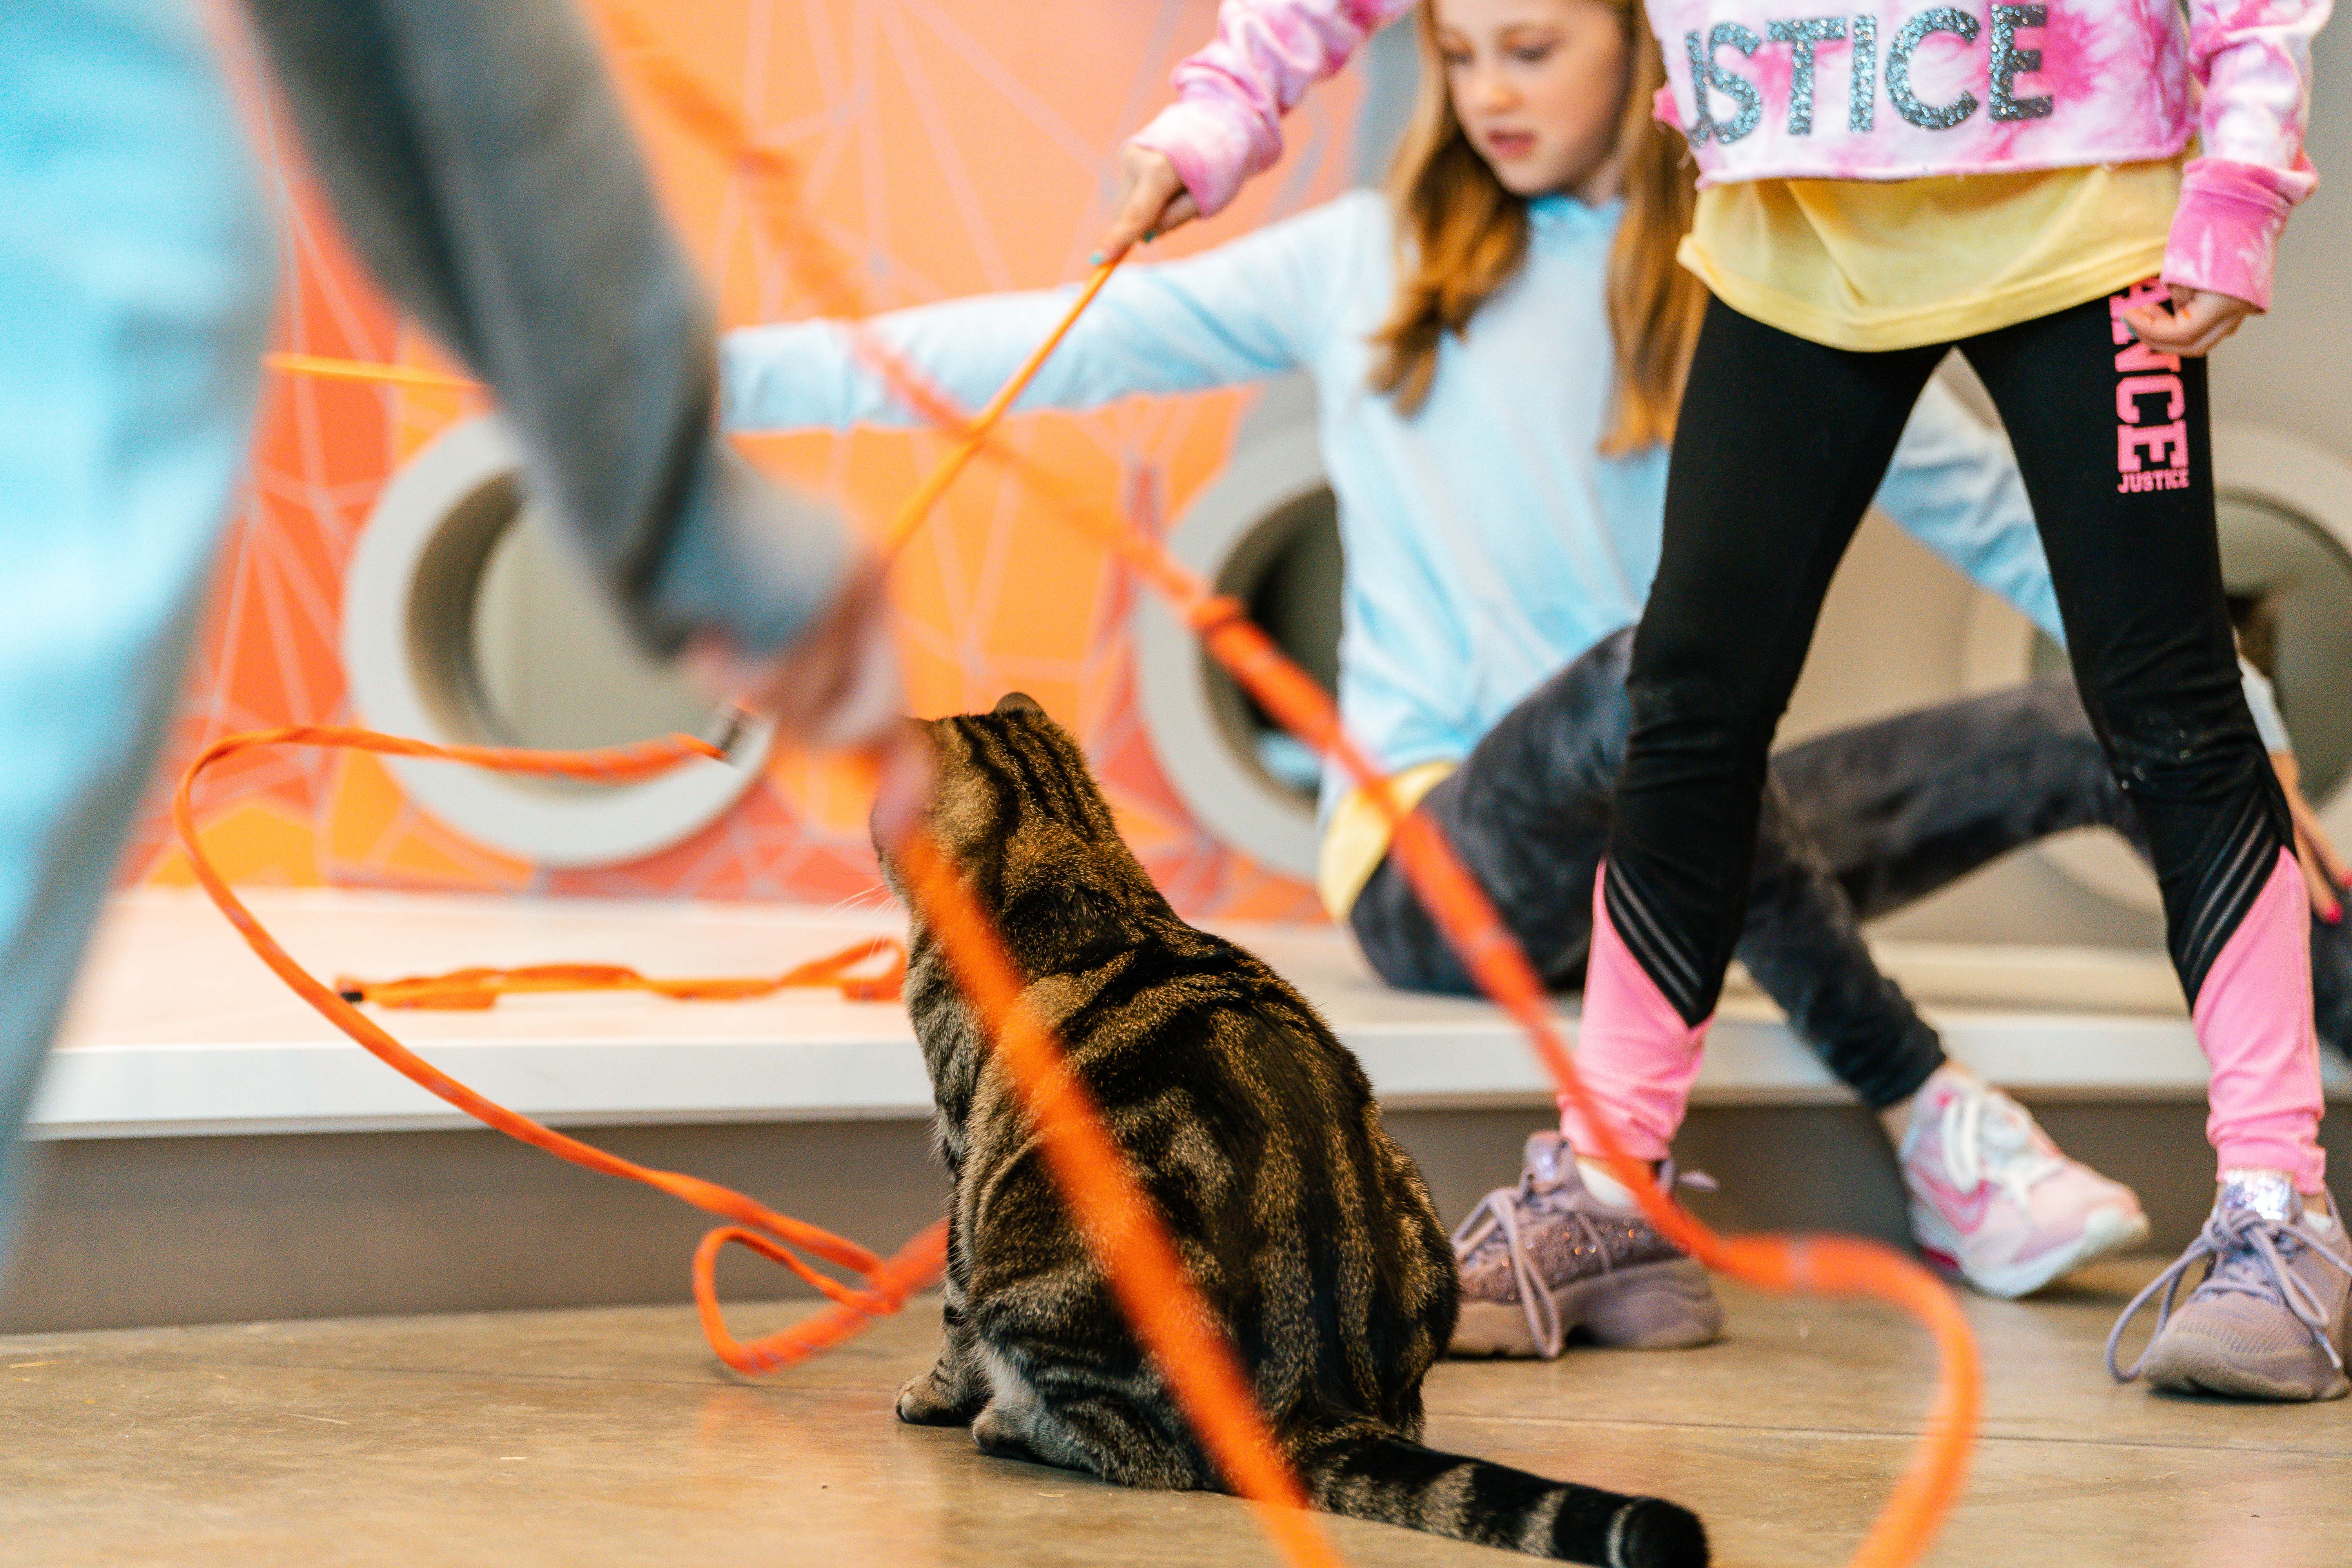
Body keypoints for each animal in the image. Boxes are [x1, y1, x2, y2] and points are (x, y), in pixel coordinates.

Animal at [875, 701, 1703, 1568]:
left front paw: (935, 1396)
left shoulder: (964, 1150)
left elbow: (953, 1306)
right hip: (1416, 1209)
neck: (1067, 851)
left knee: (1142, 1453)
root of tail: (1308, 1402)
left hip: (1027, 1251)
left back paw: (1010, 1424)